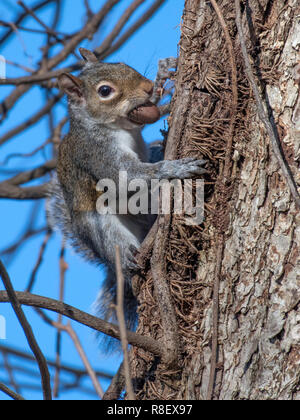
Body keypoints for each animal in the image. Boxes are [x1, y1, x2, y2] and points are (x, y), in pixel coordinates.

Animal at [48, 47, 206, 340]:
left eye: (121, 63)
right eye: (105, 91)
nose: (146, 87)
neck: (115, 127)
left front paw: (163, 74)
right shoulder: (97, 154)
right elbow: (125, 177)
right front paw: (175, 167)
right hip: (102, 231)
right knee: (117, 247)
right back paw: (128, 257)